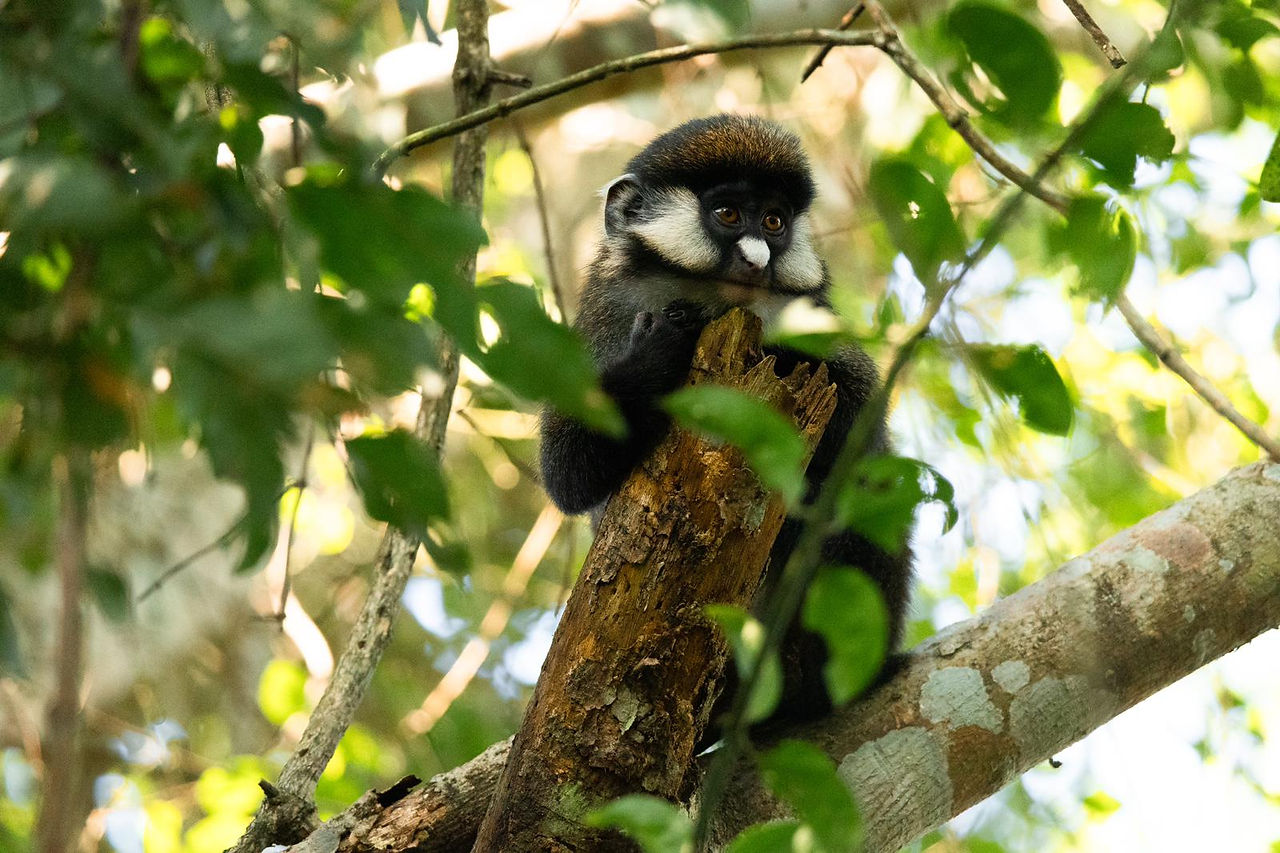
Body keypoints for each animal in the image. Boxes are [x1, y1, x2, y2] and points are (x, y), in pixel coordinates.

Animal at [539, 114, 911, 727]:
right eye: (730, 214)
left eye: (775, 221)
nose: (758, 260)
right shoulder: (604, 316)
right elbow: (565, 471)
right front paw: (660, 352)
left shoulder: (813, 315)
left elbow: (860, 419)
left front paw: (787, 356)